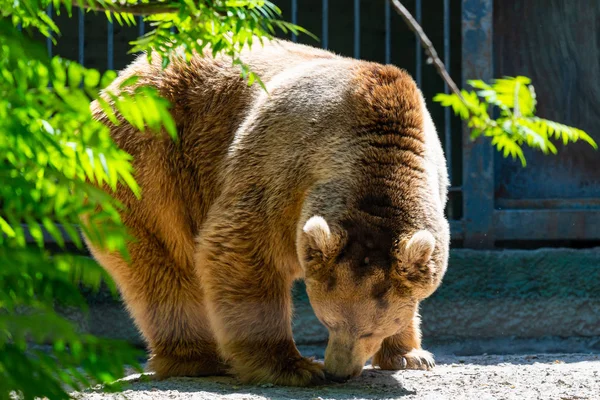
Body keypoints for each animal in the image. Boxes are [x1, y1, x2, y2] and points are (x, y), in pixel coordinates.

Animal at [86, 39, 448, 386]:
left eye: (373, 329)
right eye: (329, 320)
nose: (339, 372)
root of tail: (121, 79)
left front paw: (411, 355)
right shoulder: (283, 171)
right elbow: (242, 249)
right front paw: (293, 367)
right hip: (149, 159)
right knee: (162, 261)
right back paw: (198, 358)